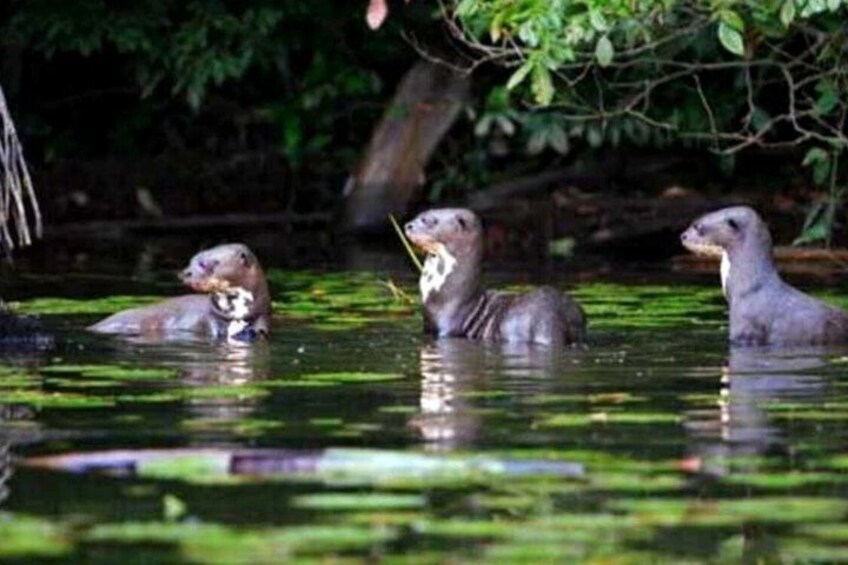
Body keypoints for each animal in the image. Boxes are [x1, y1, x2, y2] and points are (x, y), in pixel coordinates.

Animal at [88, 243, 271, 341]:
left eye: (204, 263)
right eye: (191, 261)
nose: (187, 272)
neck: (236, 314)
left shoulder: (262, 317)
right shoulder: (208, 322)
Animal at [404, 208, 586, 347]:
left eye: (430, 221)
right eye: (419, 214)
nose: (408, 225)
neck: (444, 291)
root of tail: (561, 320)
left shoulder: (445, 328)